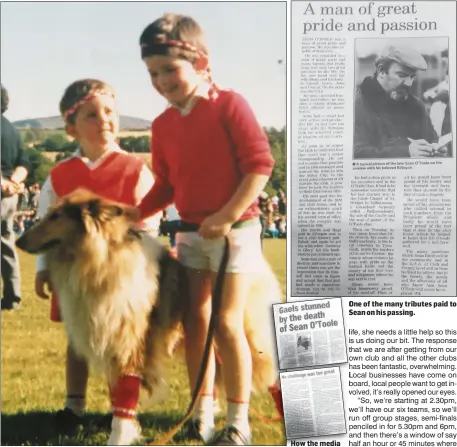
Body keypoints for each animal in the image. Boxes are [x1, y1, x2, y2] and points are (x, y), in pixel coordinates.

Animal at [16, 191, 280, 432]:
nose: (19, 242)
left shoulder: (130, 340)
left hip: (242, 330)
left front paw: (121, 431)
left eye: (56, 216)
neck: (100, 261)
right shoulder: (109, 337)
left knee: (266, 369)